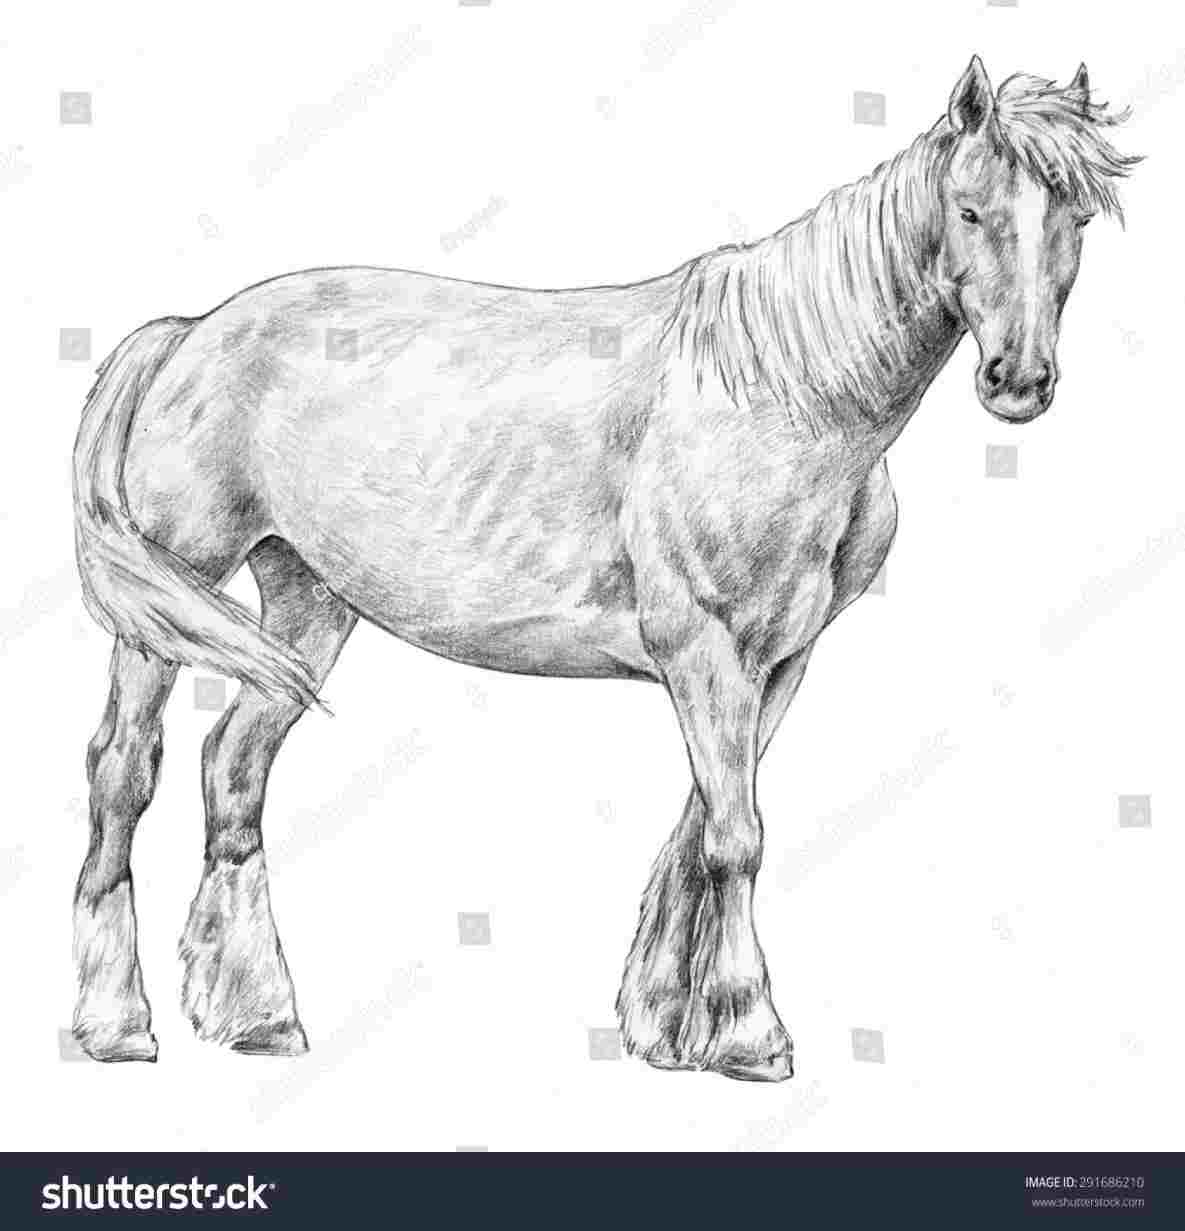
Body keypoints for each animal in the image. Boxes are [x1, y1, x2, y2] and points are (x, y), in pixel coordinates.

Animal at [71, 57, 1137, 1078]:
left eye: (1076, 219)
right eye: (970, 211)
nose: (1018, 381)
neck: (779, 394)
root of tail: (189, 333)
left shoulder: (776, 661)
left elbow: (702, 826)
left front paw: (665, 1023)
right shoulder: (703, 650)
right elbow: (734, 836)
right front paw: (749, 1035)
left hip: (305, 604)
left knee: (234, 767)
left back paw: (256, 1016)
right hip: (169, 605)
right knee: (124, 769)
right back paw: (115, 1023)